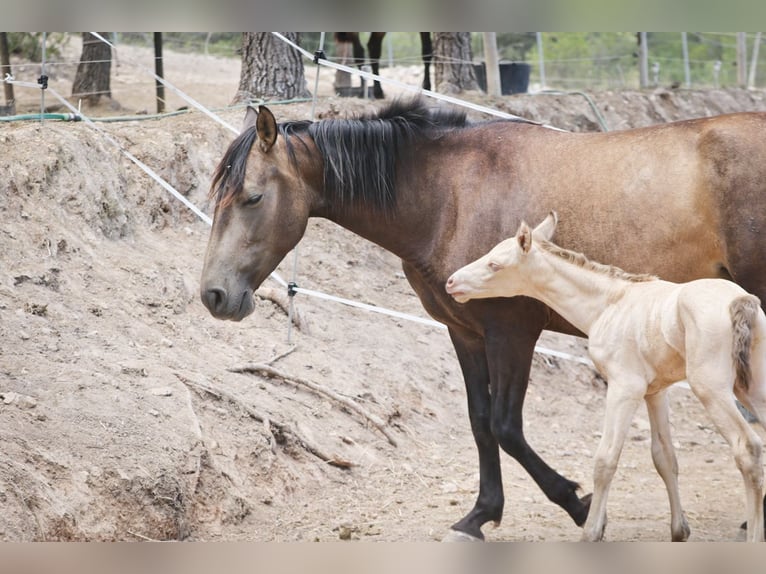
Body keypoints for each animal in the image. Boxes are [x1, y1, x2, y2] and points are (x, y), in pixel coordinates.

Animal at [201, 97, 766, 544]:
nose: (214, 294)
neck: (449, 194)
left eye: (252, 197)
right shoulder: (465, 334)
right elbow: (479, 421)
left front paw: (577, 503)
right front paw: (480, 515)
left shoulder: (511, 335)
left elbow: (506, 425)